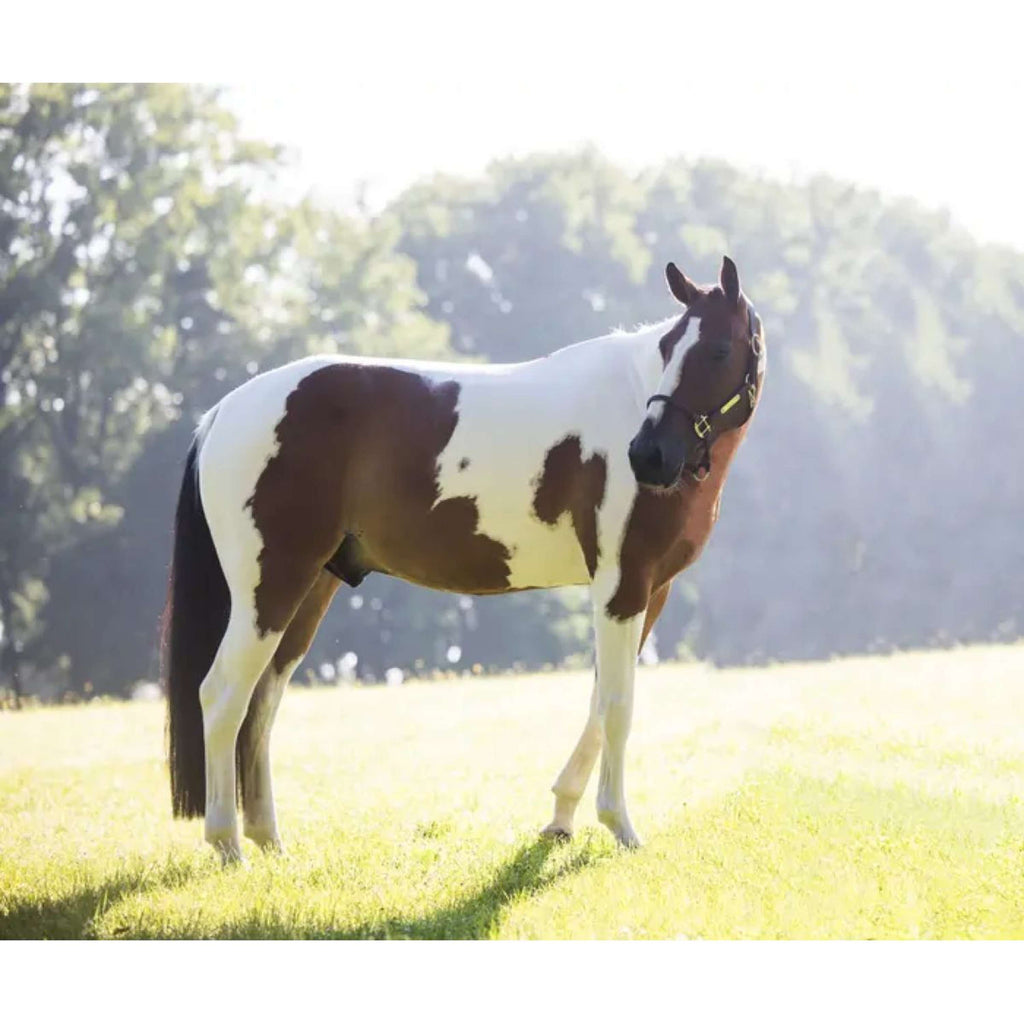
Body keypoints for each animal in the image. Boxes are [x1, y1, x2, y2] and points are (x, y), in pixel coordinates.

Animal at [164, 255, 766, 863]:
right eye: (668, 347)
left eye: (718, 349)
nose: (647, 455)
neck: (628, 402)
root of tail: (224, 412)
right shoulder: (622, 587)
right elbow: (618, 705)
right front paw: (619, 827)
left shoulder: (648, 591)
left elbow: (598, 702)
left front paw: (561, 819)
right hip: (268, 587)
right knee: (222, 696)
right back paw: (227, 845)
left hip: (309, 589)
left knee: (262, 701)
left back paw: (269, 841)